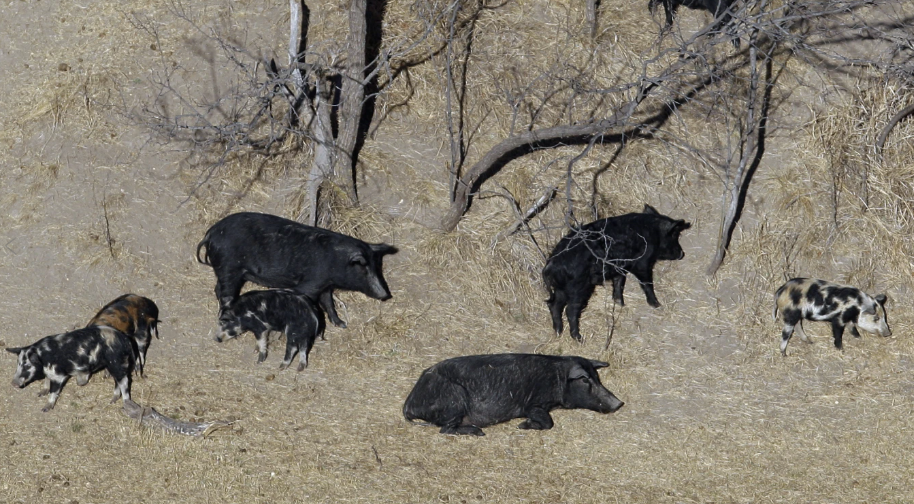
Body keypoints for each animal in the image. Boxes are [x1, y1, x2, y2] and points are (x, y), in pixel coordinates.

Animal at [5, 326, 136, 411]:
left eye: (27, 366)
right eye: (18, 364)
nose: (13, 383)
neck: (43, 356)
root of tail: (125, 340)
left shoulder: (58, 376)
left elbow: (53, 391)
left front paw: (45, 409)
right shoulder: (50, 373)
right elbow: (46, 381)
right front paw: (41, 393)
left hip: (116, 363)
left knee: (124, 382)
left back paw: (125, 405)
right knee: (118, 381)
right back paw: (112, 400)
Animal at [196, 212, 397, 329]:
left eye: (377, 267)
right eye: (363, 269)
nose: (385, 295)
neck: (335, 261)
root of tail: (210, 234)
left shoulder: (325, 286)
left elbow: (329, 303)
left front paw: (342, 324)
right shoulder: (310, 284)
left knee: (217, 289)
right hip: (229, 268)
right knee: (226, 294)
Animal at [402, 353, 624, 436]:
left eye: (598, 377)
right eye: (585, 380)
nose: (619, 403)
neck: (557, 378)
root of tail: (408, 404)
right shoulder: (532, 403)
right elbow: (548, 422)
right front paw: (523, 425)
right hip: (454, 399)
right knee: (445, 429)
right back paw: (478, 432)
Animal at [542, 204, 691, 341]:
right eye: (675, 235)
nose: (682, 254)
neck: (653, 232)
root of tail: (551, 264)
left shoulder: (620, 268)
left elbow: (619, 282)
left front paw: (620, 304)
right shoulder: (642, 264)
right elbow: (646, 283)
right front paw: (657, 305)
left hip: (562, 288)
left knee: (553, 304)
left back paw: (558, 332)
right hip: (578, 288)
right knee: (570, 310)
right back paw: (579, 338)